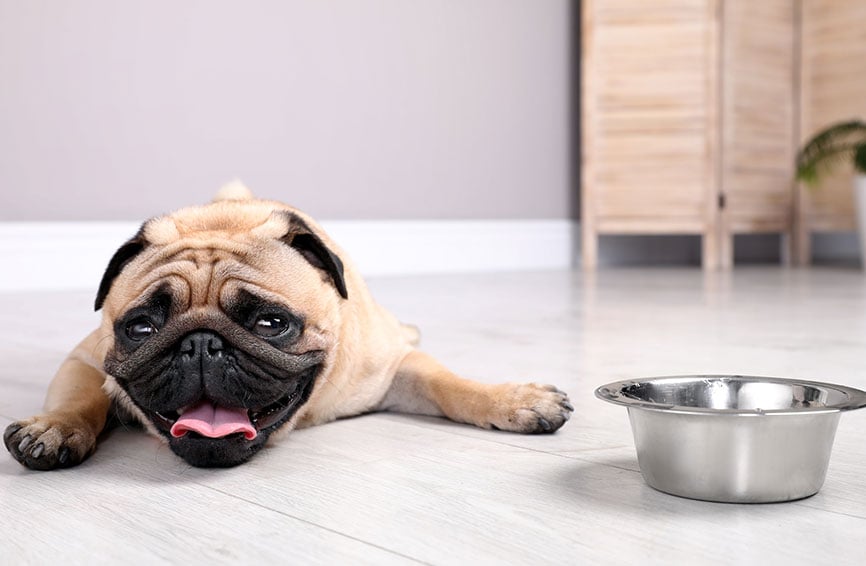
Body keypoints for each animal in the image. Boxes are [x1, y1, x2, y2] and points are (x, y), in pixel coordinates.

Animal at [8, 185, 572, 470]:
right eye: (141, 328)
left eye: (271, 323)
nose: (201, 344)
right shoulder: (86, 359)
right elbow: (81, 397)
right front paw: (54, 428)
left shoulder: (391, 371)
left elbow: (450, 384)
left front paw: (514, 400)